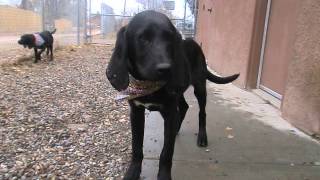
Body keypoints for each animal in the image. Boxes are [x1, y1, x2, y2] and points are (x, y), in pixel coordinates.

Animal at [106, 10, 239, 180]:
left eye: (169, 38)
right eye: (143, 38)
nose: (166, 69)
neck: (149, 86)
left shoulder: (169, 111)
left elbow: (167, 152)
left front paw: (163, 176)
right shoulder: (136, 112)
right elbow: (136, 146)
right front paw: (133, 172)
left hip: (199, 87)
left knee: (201, 112)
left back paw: (202, 137)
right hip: (177, 92)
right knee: (184, 107)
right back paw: (177, 129)